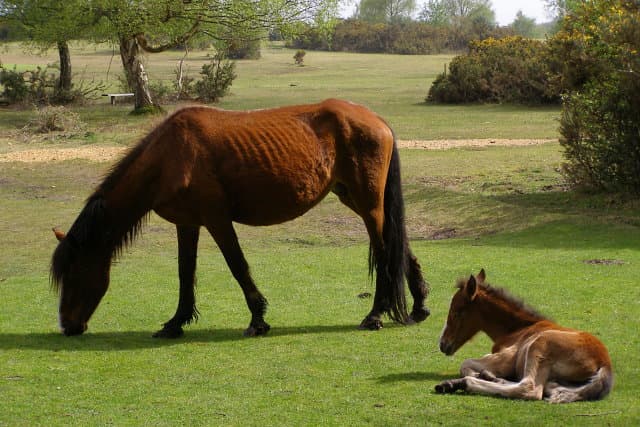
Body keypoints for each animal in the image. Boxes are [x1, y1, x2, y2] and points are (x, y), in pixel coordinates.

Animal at [50, 99, 431, 338]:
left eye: (74, 272)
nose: (68, 326)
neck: (171, 155)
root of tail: (377, 121)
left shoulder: (217, 220)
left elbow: (237, 266)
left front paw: (258, 319)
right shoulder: (188, 223)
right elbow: (184, 273)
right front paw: (176, 322)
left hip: (368, 204)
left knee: (385, 253)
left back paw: (376, 315)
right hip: (357, 200)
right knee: (398, 248)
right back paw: (419, 306)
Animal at [435, 270, 613, 403]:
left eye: (456, 312)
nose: (442, 344)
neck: (517, 328)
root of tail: (604, 363)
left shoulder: (508, 358)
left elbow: (465, 364)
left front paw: (475, 375)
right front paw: (485, 374)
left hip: (540, 345)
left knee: (529, 388)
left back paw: (462, 383)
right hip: (559, 381)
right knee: (548, 387)